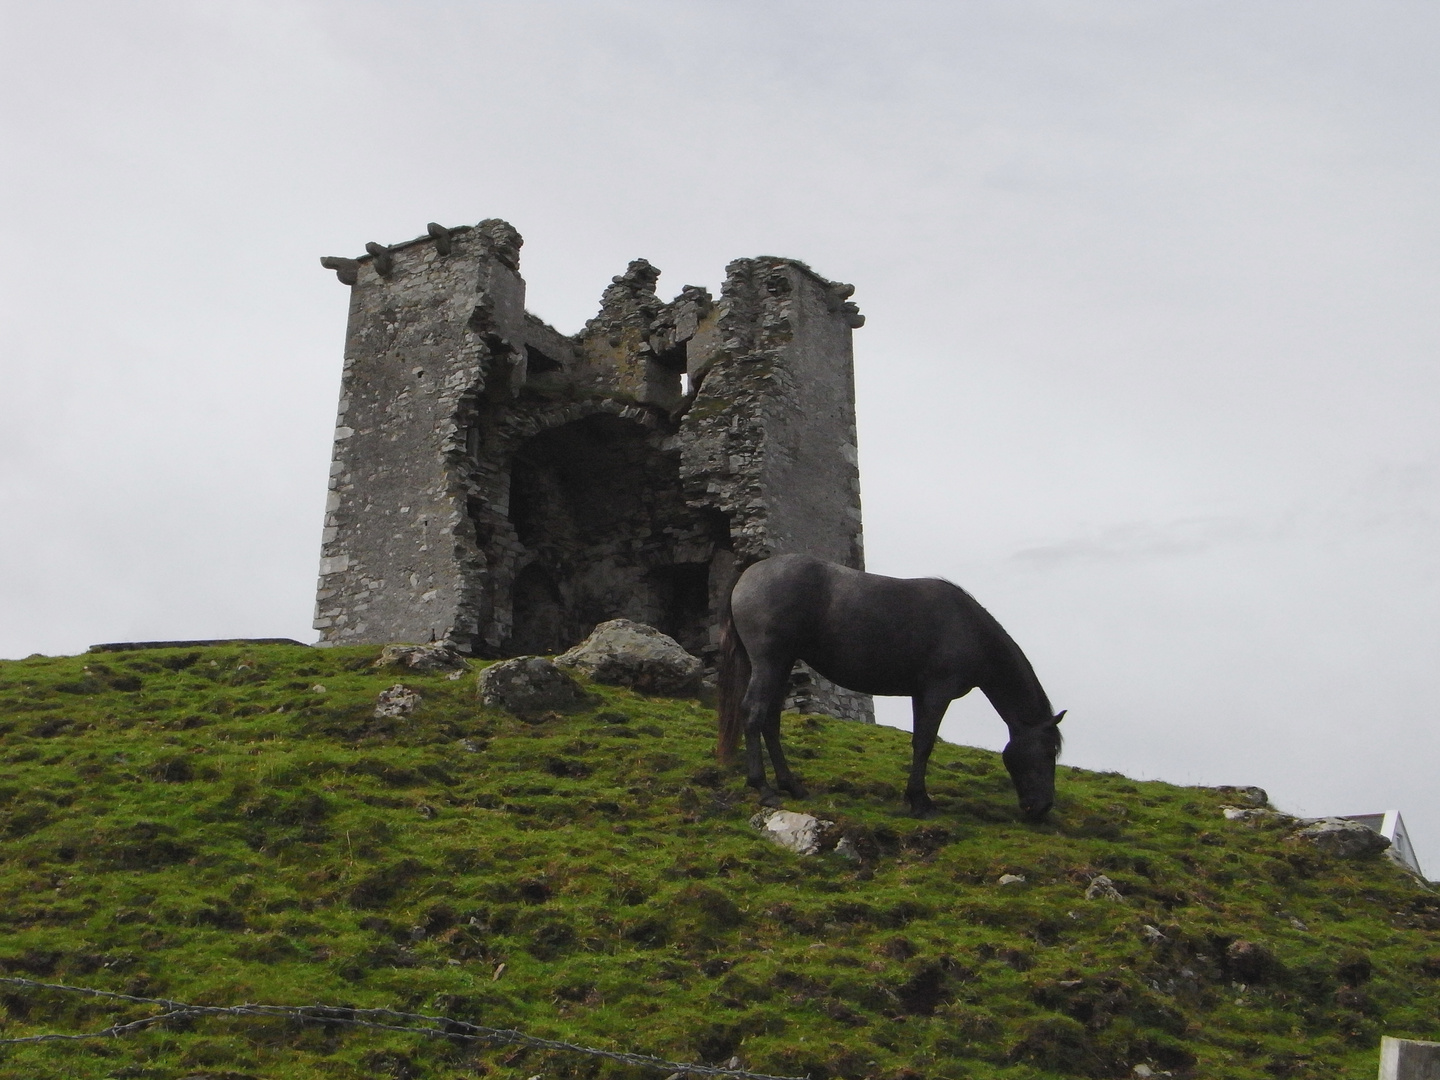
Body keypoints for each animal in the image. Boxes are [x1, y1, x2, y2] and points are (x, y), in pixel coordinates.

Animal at [717, 552, 1065, 823]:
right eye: (1049, 751)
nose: (1043, 807)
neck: (968, 628)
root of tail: (747, 576)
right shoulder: (937, 693)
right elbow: (924, 743)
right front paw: (921, 803)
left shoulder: (919, 694)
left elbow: (918, 742)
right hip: (770, 662)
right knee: (754, 714)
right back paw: (764, 790)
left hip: (781, 664)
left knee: (771, 721)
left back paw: (793, 787)